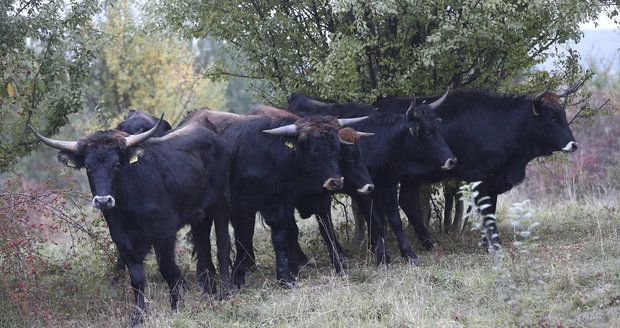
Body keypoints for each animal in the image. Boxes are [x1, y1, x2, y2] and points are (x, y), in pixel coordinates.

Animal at [29, 116, 232, 326]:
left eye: (117, 165)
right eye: (88, 167)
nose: (103, 201)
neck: (128, 207)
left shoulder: (164, 234)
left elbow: (168, 269)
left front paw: (176, 307)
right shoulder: (122, 240)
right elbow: (136, 278)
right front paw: (138, 316)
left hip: (221, 204)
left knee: (223, 244)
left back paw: (224, 293)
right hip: (199, 216)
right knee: (204, 248)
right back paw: (209, 294)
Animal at [288, 89, 458, 264]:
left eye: (438, 127)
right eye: (428, 132)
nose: (452, 160)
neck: (377, 140)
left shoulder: (386, 184)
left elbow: (393, 220)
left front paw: (406, 253)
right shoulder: (362, 190)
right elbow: (375, 222)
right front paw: (383, 257)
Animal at [372, 84, 580, 249]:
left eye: (563, 114)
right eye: (552, 117)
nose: (574, 144)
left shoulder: (493, 180)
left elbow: (490, 210)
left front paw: (487, 243)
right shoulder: (479, 177)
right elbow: (487, 212)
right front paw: (495, 246)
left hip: (411, 177)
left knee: (408, 201)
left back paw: (429, 243)